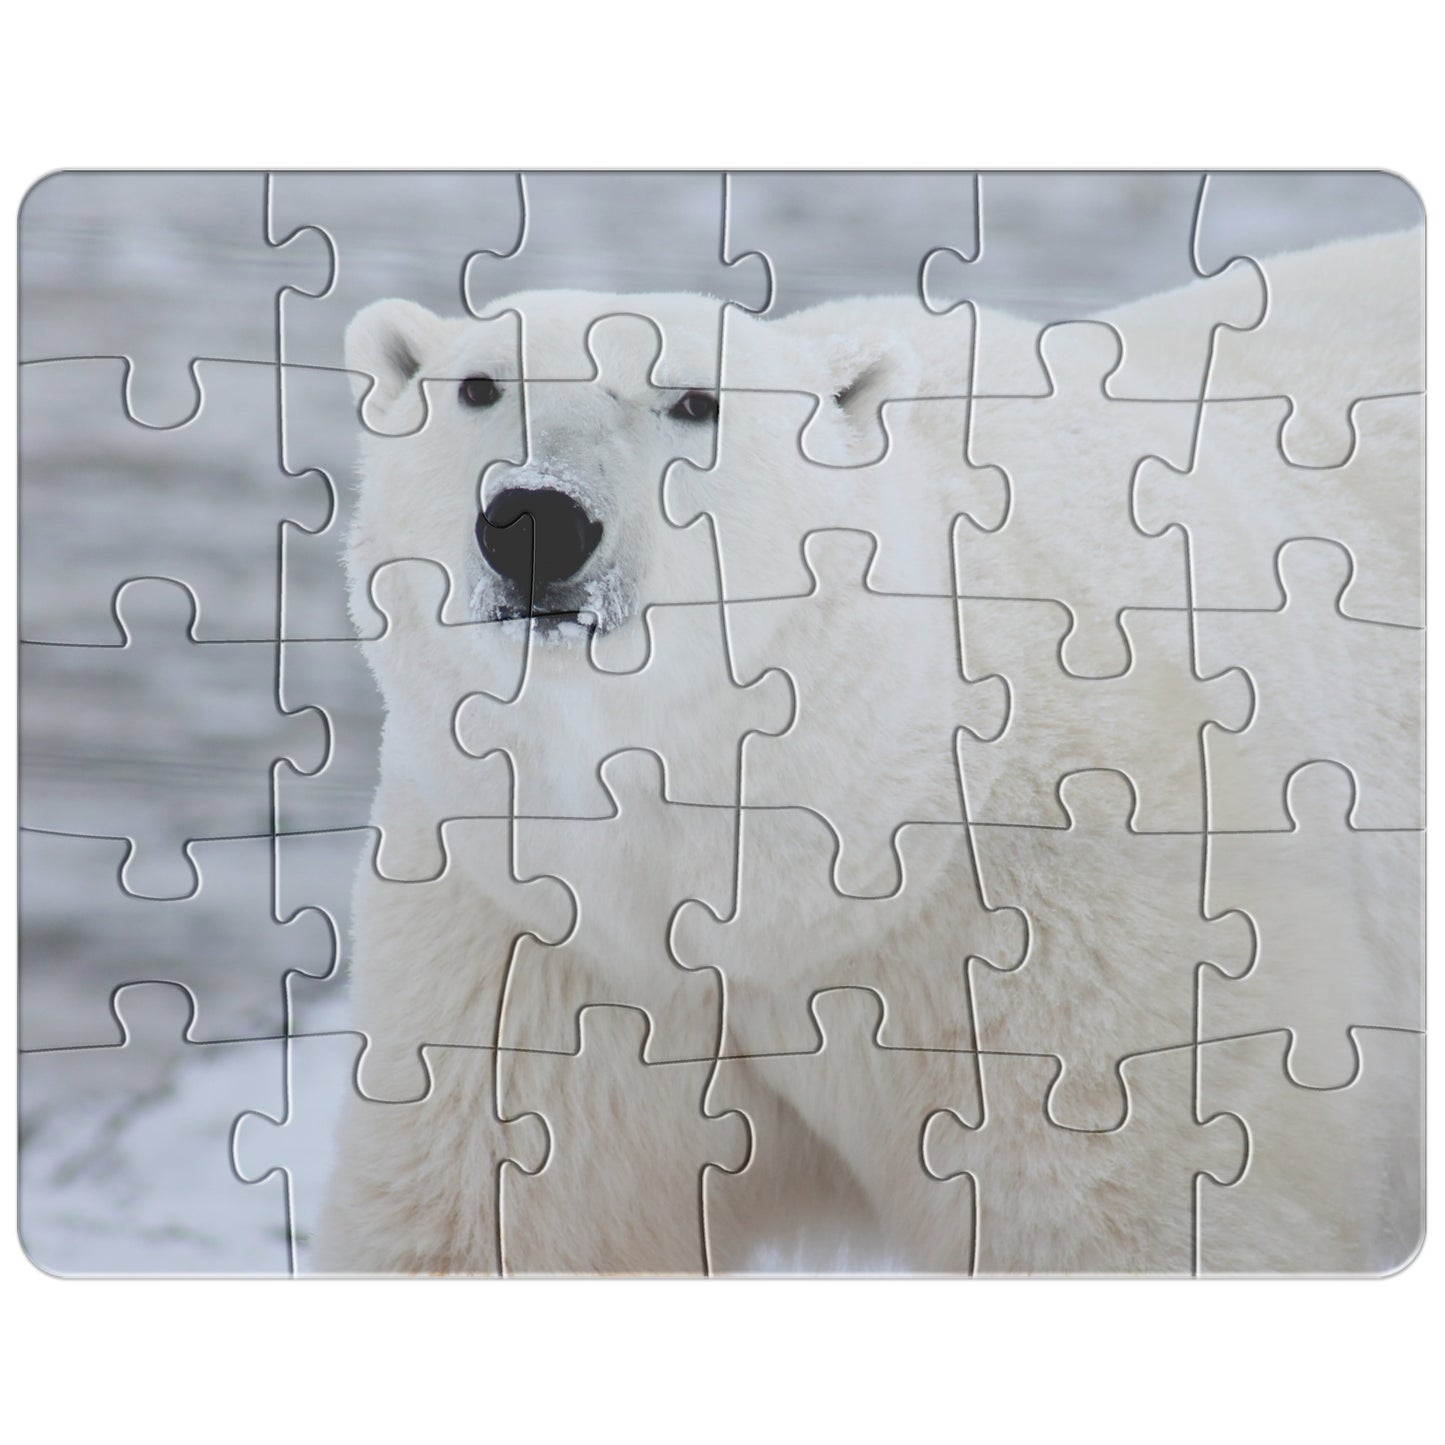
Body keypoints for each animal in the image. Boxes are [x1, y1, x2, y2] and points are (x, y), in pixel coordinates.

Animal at [316, 231, 1421, 1275]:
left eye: (693, 400)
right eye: (476, 385)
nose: (535, 519)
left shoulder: (1080, 918)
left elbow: (1127, 1212)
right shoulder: (539, 930)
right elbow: (501, 1210)